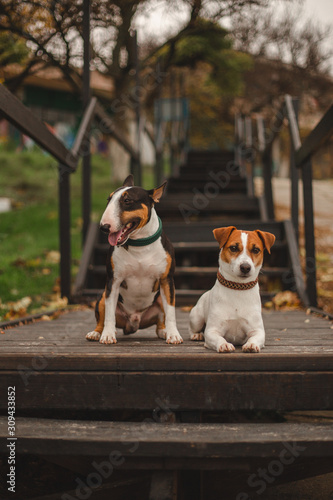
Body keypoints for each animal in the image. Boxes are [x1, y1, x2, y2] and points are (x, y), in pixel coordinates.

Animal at [85, 175, 182, 344]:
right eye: (108, 199)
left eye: (127, 201)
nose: (103, 227)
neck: (139, 245)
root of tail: (133, 323)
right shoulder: (113, 281)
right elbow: (109, 314)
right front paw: (107, 335)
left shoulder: (167, 280)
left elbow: (171, 312)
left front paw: (174, 335)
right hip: (102, 297)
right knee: (102, 318)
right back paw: (97, 333)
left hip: (159, 299)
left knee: (160, 321)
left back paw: (164, 331)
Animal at [188, 225, 274, 354]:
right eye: (233, 248)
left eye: (256, 250)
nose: (245, 267)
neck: (238, 287)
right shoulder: (212, 331)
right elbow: (219, 338)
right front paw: (224, 344)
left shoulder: (257, 330)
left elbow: (254, 337)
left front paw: (251, 344)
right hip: (196, 318)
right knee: (193, 328)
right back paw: (196, 335)